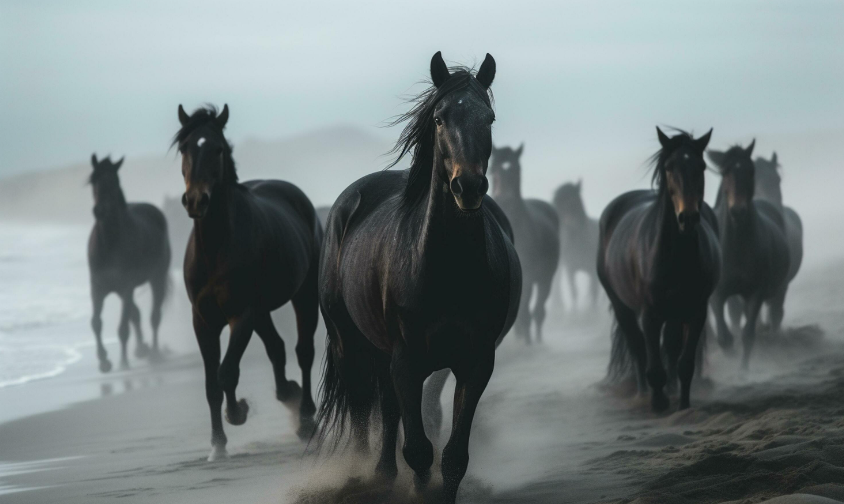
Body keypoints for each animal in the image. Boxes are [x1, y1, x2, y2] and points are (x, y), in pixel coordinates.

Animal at [88, 156, 171, 372]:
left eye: (114, 181)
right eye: (93, 181)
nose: (100, 210)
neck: (109, 244)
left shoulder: (126, 286)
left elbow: (123, 327)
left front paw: (121, 362)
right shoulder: (98, 288)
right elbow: (96, 322)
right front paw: (104, 360)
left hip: (157, 278)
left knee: (154, 317)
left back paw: (154, 353)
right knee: (137, 314)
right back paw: (142, 349)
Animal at [173, 105, 322, 460]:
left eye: (217, 149)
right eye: (184, 148)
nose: (196, 201)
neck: (215, 249)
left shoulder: (240, 315)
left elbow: (227, 372)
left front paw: (237, 411)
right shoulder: (203, 321)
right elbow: (211, 385)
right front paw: (217, 445)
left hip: (303, 296)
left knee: (304, 351)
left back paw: (305, 418)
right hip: (263, 311)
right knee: (277, 349)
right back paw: (288, 394)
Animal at [552, 179, 600, 314]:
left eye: (574, 200)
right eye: (556, 203)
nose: (568, 226)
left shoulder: (592, 271)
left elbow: (593, 292)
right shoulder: (570, 269)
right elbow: (574, 291)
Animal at [596, 128, 724, 412]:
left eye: (701, 166)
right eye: (669, 167)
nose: (688, 218)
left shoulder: (696, 311)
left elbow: (685, 363)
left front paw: (683, 403)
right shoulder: (650, 314)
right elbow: (652, 363)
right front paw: (658, 403)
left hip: (676, 313)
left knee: (671, 348)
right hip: (621, 305)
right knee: (637, 347)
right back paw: (644, 393)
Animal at [708, 142, 796, 370]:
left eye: (750, 171)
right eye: (724, 173)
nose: (738, 210)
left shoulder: (756, 292)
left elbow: (748, 334)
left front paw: (744, 371)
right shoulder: (718, 294)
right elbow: (725, 337)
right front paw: (729, 356)